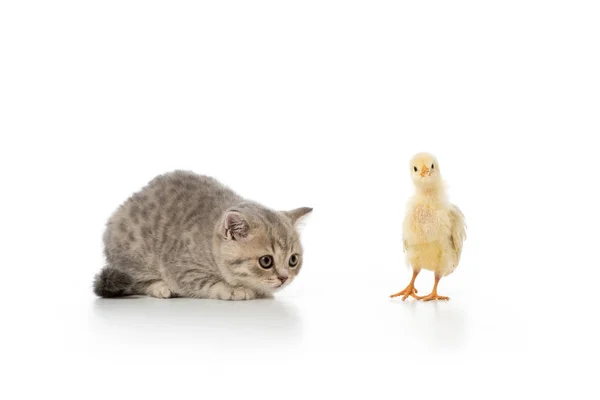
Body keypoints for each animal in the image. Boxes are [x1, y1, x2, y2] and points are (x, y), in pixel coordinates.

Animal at [92, 171, 314, 300]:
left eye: (293, 260)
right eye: (266, 261)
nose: (284, 277)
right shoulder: (182, 268)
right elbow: (206, 282)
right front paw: (233, 289)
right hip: (134, 255)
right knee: (136, 281)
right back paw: (159, 287)